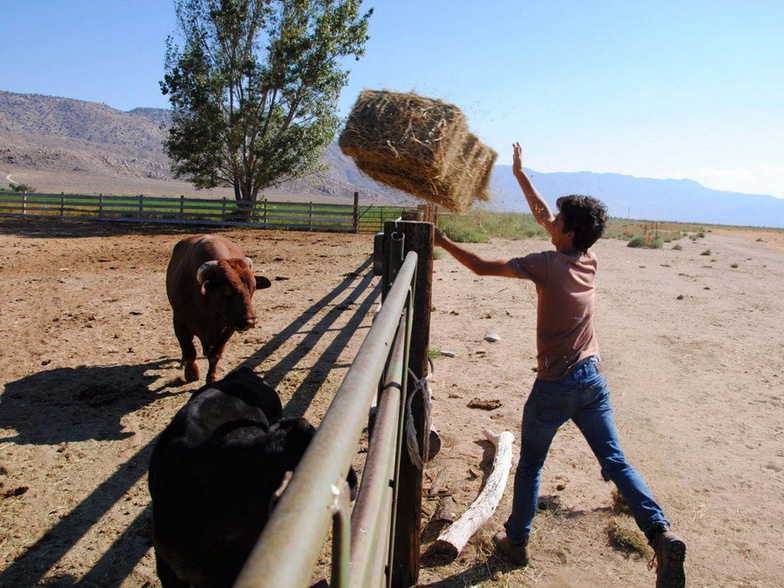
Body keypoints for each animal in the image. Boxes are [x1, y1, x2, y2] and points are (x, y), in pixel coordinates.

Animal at [164, 234, 272, 382]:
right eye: (225, 289)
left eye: (253, 287)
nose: (250, 321)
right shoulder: (179, 321)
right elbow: (189, 351)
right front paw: (191, 373)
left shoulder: (229, 327)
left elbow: (215, 354)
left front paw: (212, 376)